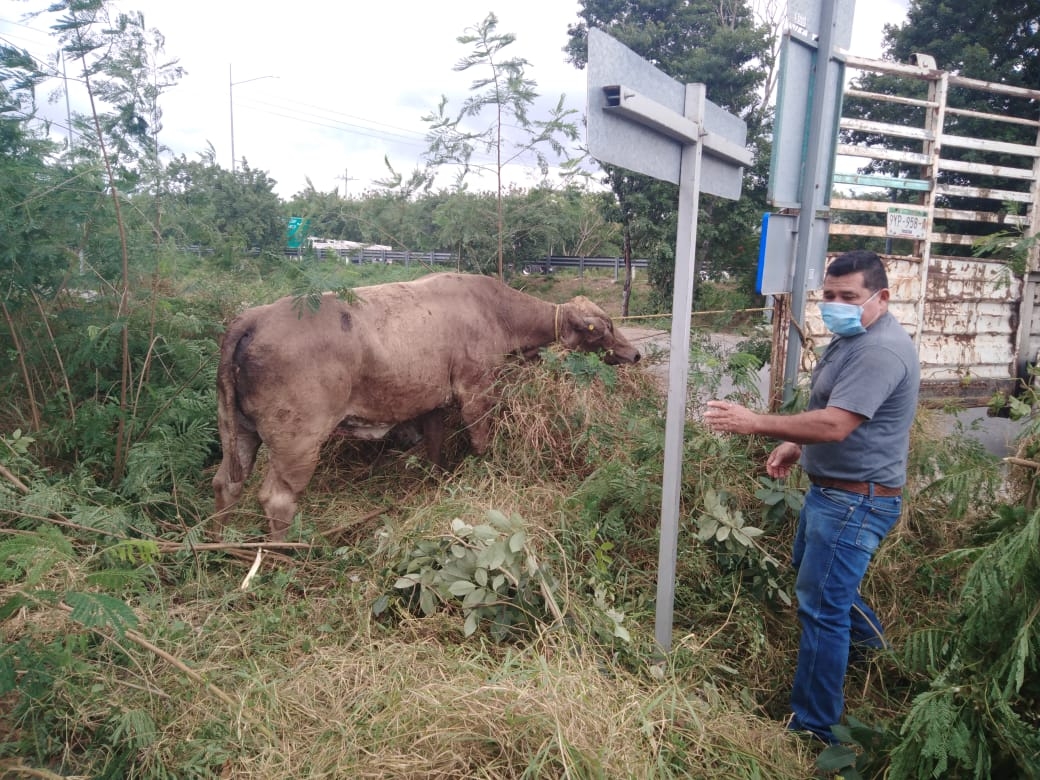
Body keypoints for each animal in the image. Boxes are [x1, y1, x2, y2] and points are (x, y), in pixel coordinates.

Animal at [212, 272, 636, 540]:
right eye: (607, 327)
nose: (635, 354)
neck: (496, 311)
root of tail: (254, 317)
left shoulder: (434, 400)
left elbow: (434, 447)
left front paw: (437, 484)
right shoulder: (476, 390)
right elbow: (481, 443)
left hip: (240, 431)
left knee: (226, 483)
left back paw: (220, 543)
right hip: (297, 439)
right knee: (277, 499)